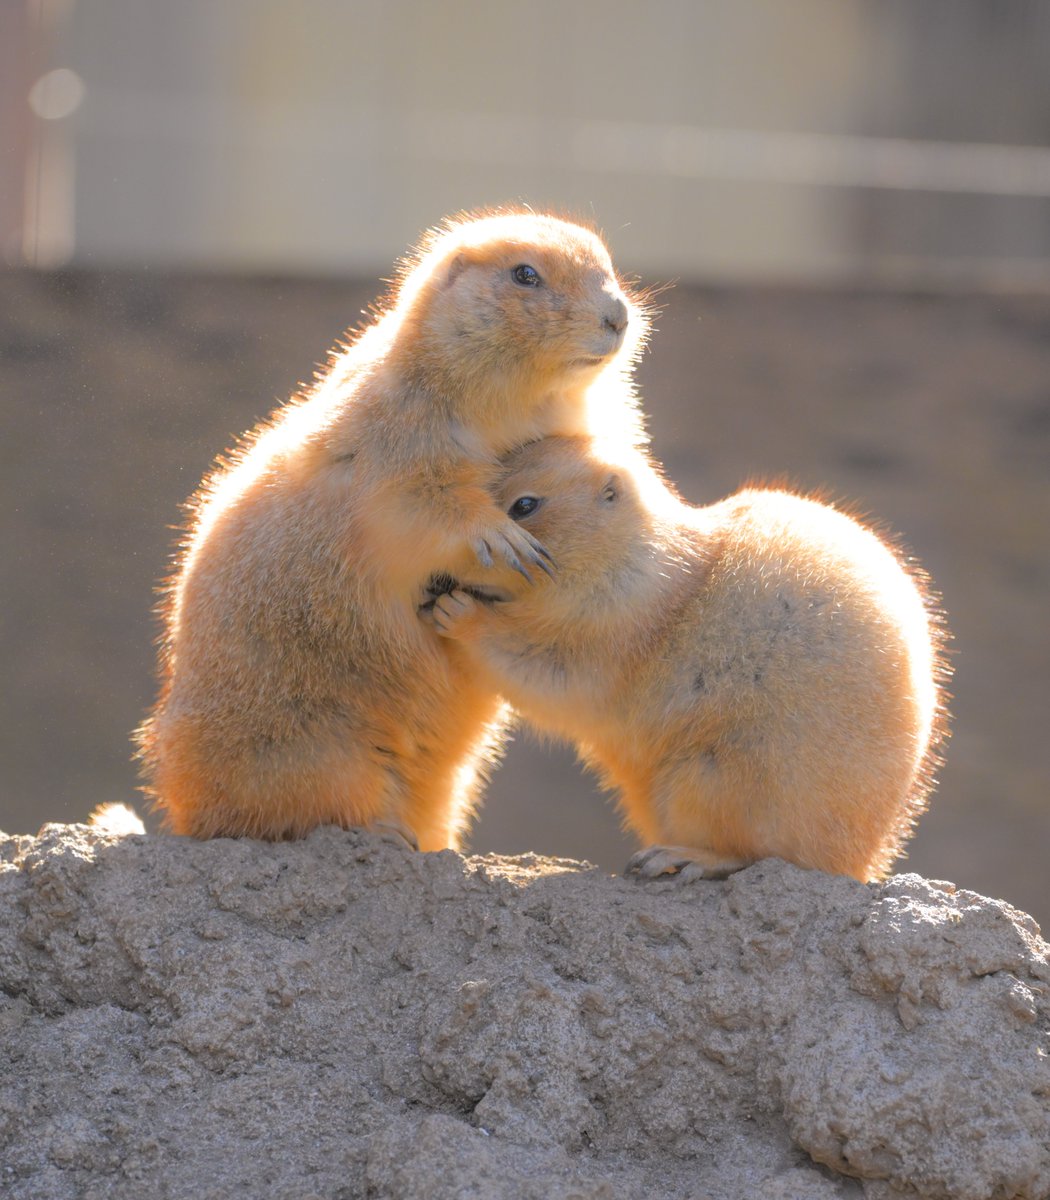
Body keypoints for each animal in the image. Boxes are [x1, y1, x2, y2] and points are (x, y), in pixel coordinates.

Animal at [135, 211, 649, 849]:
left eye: (607, 266)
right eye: (524, 274)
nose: (618, 315)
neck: (526, 402)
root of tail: (184, 811)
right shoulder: (398, 427)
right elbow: (418, 497)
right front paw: (500, 536)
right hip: (316, 753)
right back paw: (378, 832)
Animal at [427, 435, 950, 882]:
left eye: (525, 505)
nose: (438, 573)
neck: (630, 553)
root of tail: (860, 863)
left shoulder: (612, 621)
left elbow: (548, 669)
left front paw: (457, 611)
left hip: (713, 777)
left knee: (758, 853)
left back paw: (680, 856)